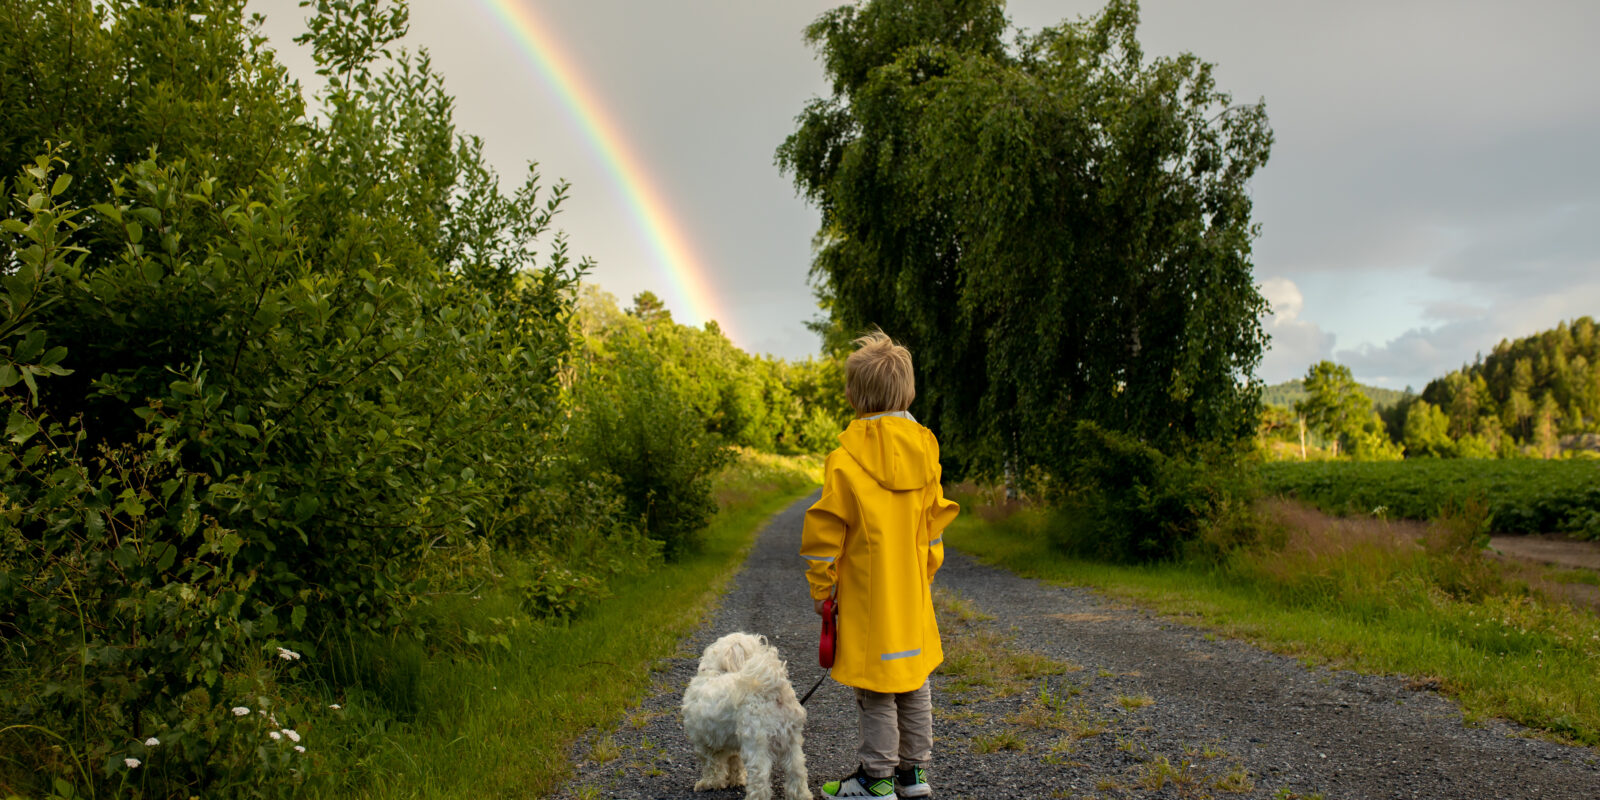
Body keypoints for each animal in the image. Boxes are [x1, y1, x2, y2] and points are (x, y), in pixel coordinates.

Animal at [681, 630, 812, 800]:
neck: (714, 672)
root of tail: (773, 692)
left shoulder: (706, 743)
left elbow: (712, 766)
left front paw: (709, 783)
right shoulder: (732, 742)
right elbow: (735, 762)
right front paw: (736, 780)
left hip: (757, 746)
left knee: (760, 781)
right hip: (792, 744)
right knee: (797, 773)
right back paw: (802, 795)